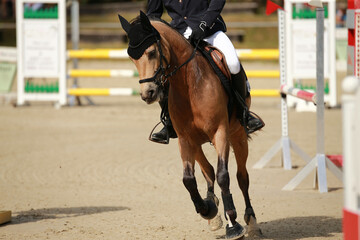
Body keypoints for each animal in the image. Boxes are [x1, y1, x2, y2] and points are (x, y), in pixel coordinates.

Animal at [118, 12, 262, 239]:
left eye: (151, 52)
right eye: (132, 58)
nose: (148, 93)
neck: (189, 85)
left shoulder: (220, 133)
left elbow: (224, 176)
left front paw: (233, 224)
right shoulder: (185, 139)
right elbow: (189, 179)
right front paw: (208, 210)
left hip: (237, 135)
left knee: (242, 177)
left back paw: (251, 221)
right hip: (196, 143)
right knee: (208, 171)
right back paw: (213, 211)